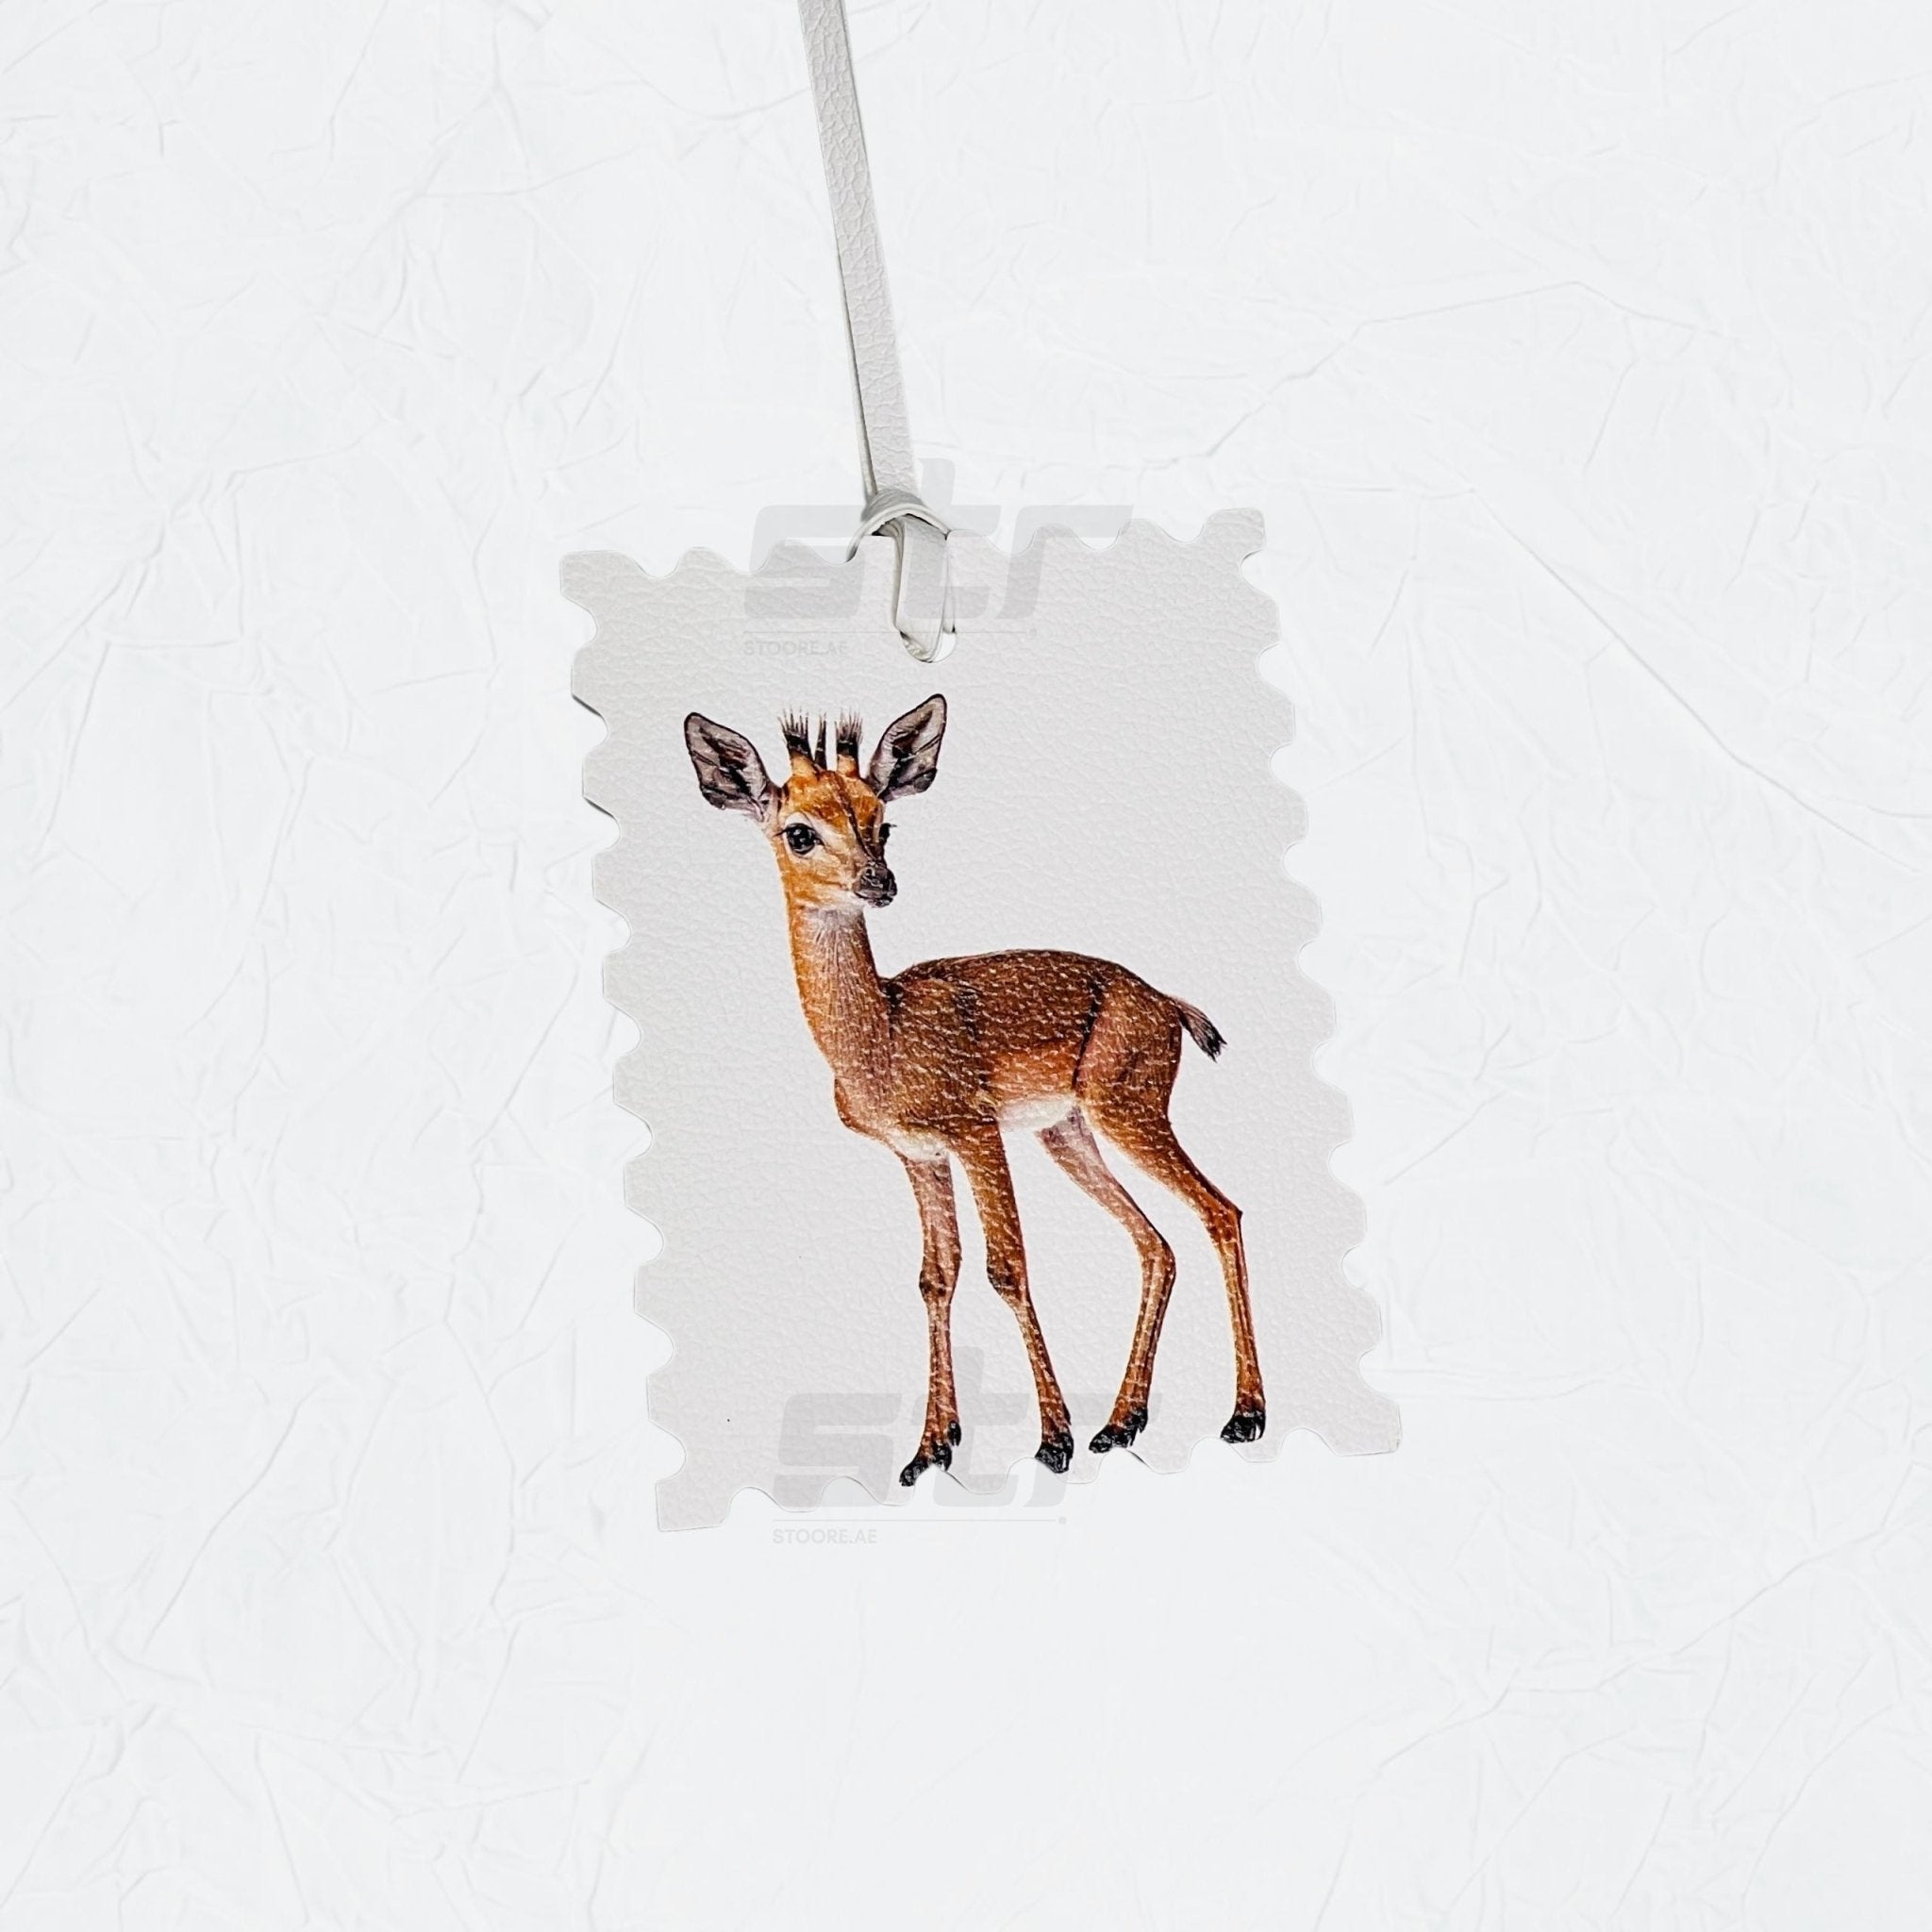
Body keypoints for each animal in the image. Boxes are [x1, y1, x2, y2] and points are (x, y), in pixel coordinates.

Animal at [684, 695, 1265, 1484]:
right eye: (798, 830)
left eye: (882, 820)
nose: (879, 882)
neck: (881, 1039)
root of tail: (1168, 1003)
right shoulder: (920, 1156)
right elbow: (937, 1275)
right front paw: (930, 1450)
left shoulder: (975, 1132)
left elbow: (1006, 1267)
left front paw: (1052, 1439)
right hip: (1067, 1133)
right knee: (1155, 1242)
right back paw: (1121, 1424)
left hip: (1129, 1112)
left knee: (1220, 1212)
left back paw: (1243, 1417)